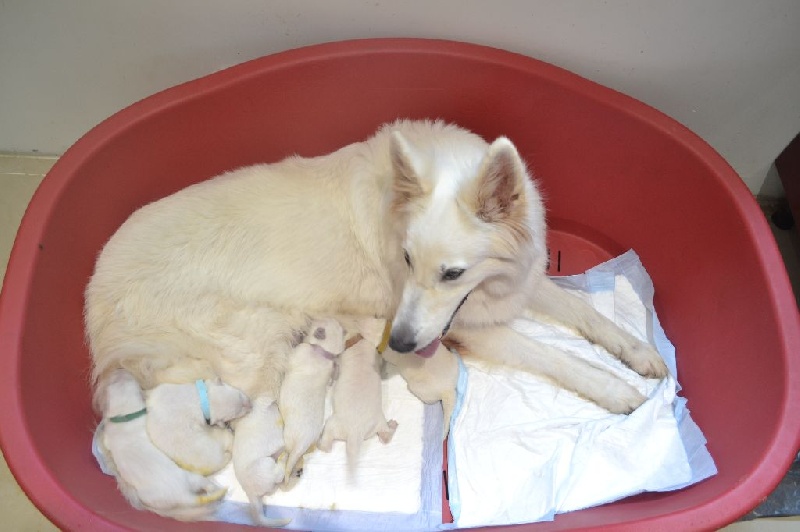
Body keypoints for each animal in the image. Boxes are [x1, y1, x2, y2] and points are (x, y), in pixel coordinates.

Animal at [98, 370, 228, 520]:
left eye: (125, 377)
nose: (119, 370)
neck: (124, 414)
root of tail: (184, 496)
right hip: (192, 479)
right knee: (206, 485)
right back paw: (216, 490)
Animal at [278, 318, 344, 484]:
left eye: (318, 322)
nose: (311, 319)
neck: (323, 352)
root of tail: (302, 444)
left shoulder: (299, 352)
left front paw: (297, 336)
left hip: (287, 436)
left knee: (288, 452)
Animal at [316, 316, 396, 470]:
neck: (361, 341)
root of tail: (355, 432)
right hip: (379, 421)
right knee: (385, 437)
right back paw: (392, 426)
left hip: (332, 424)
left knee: (327, 446)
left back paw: (320, 441)